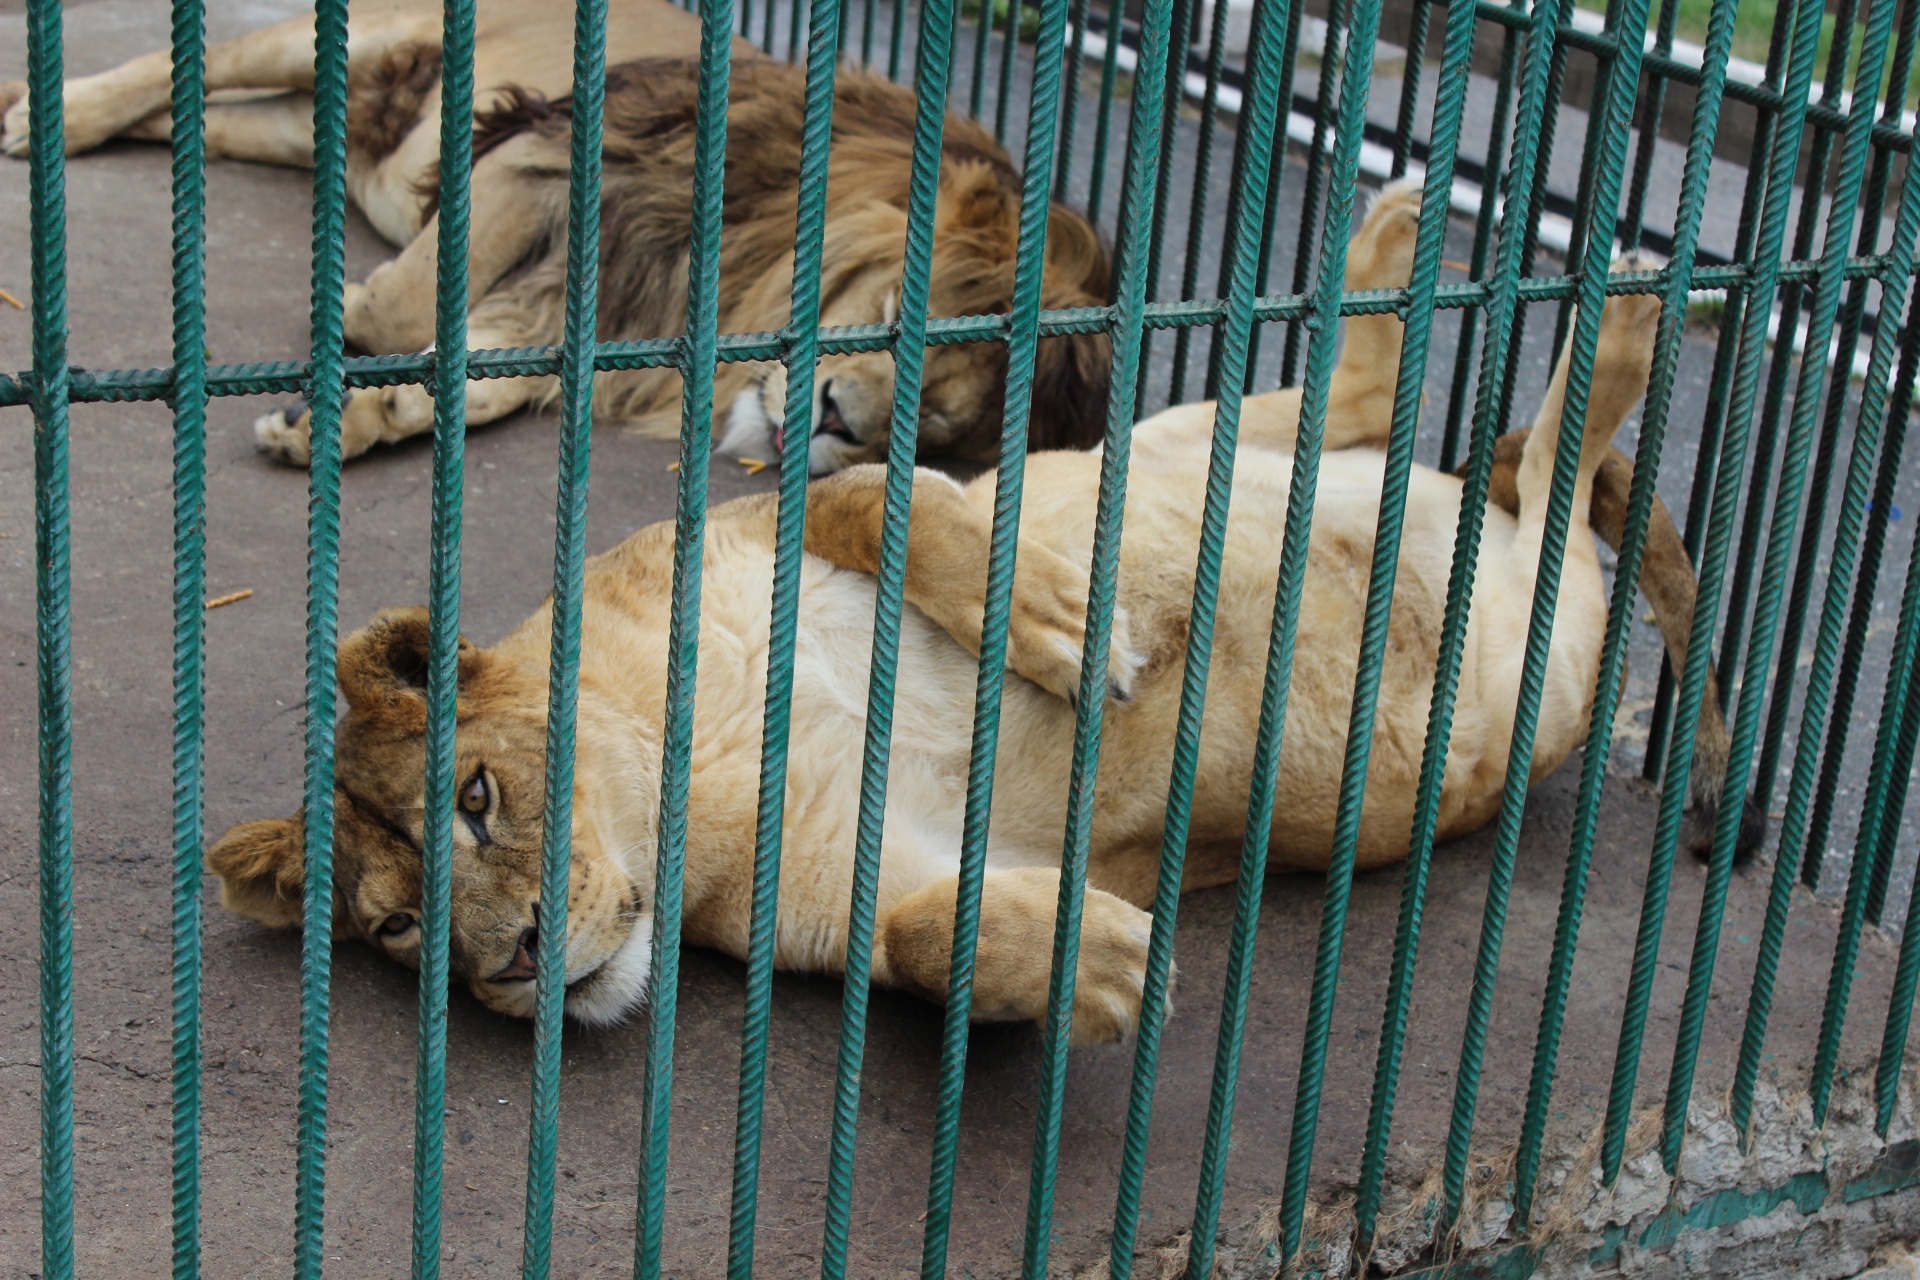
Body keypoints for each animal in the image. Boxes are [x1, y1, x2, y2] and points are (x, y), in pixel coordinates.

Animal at [0, 0, 1113, 474]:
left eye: (935, 428)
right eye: (889, 314)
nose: (839, 419)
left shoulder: (604, 310)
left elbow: (483, 375)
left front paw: (353, 421)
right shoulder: (550, 147)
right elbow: (405, 304)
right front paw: (350, 315)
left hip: (315, 121)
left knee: (196, 117)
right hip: (358, 37)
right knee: (168, 70)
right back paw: (38, 116)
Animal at [202, 182, 1758, 1043]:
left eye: (475, 796)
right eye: (398, 937)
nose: (515, 968)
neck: (694, 785)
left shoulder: (762, 516)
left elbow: (870, 495)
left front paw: (1067, 630)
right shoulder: (861, 880)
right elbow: (919, 939)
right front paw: (1088, 960)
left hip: (1159, 453)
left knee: (1500, 449)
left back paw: (1593, 295)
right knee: (1513, 477)